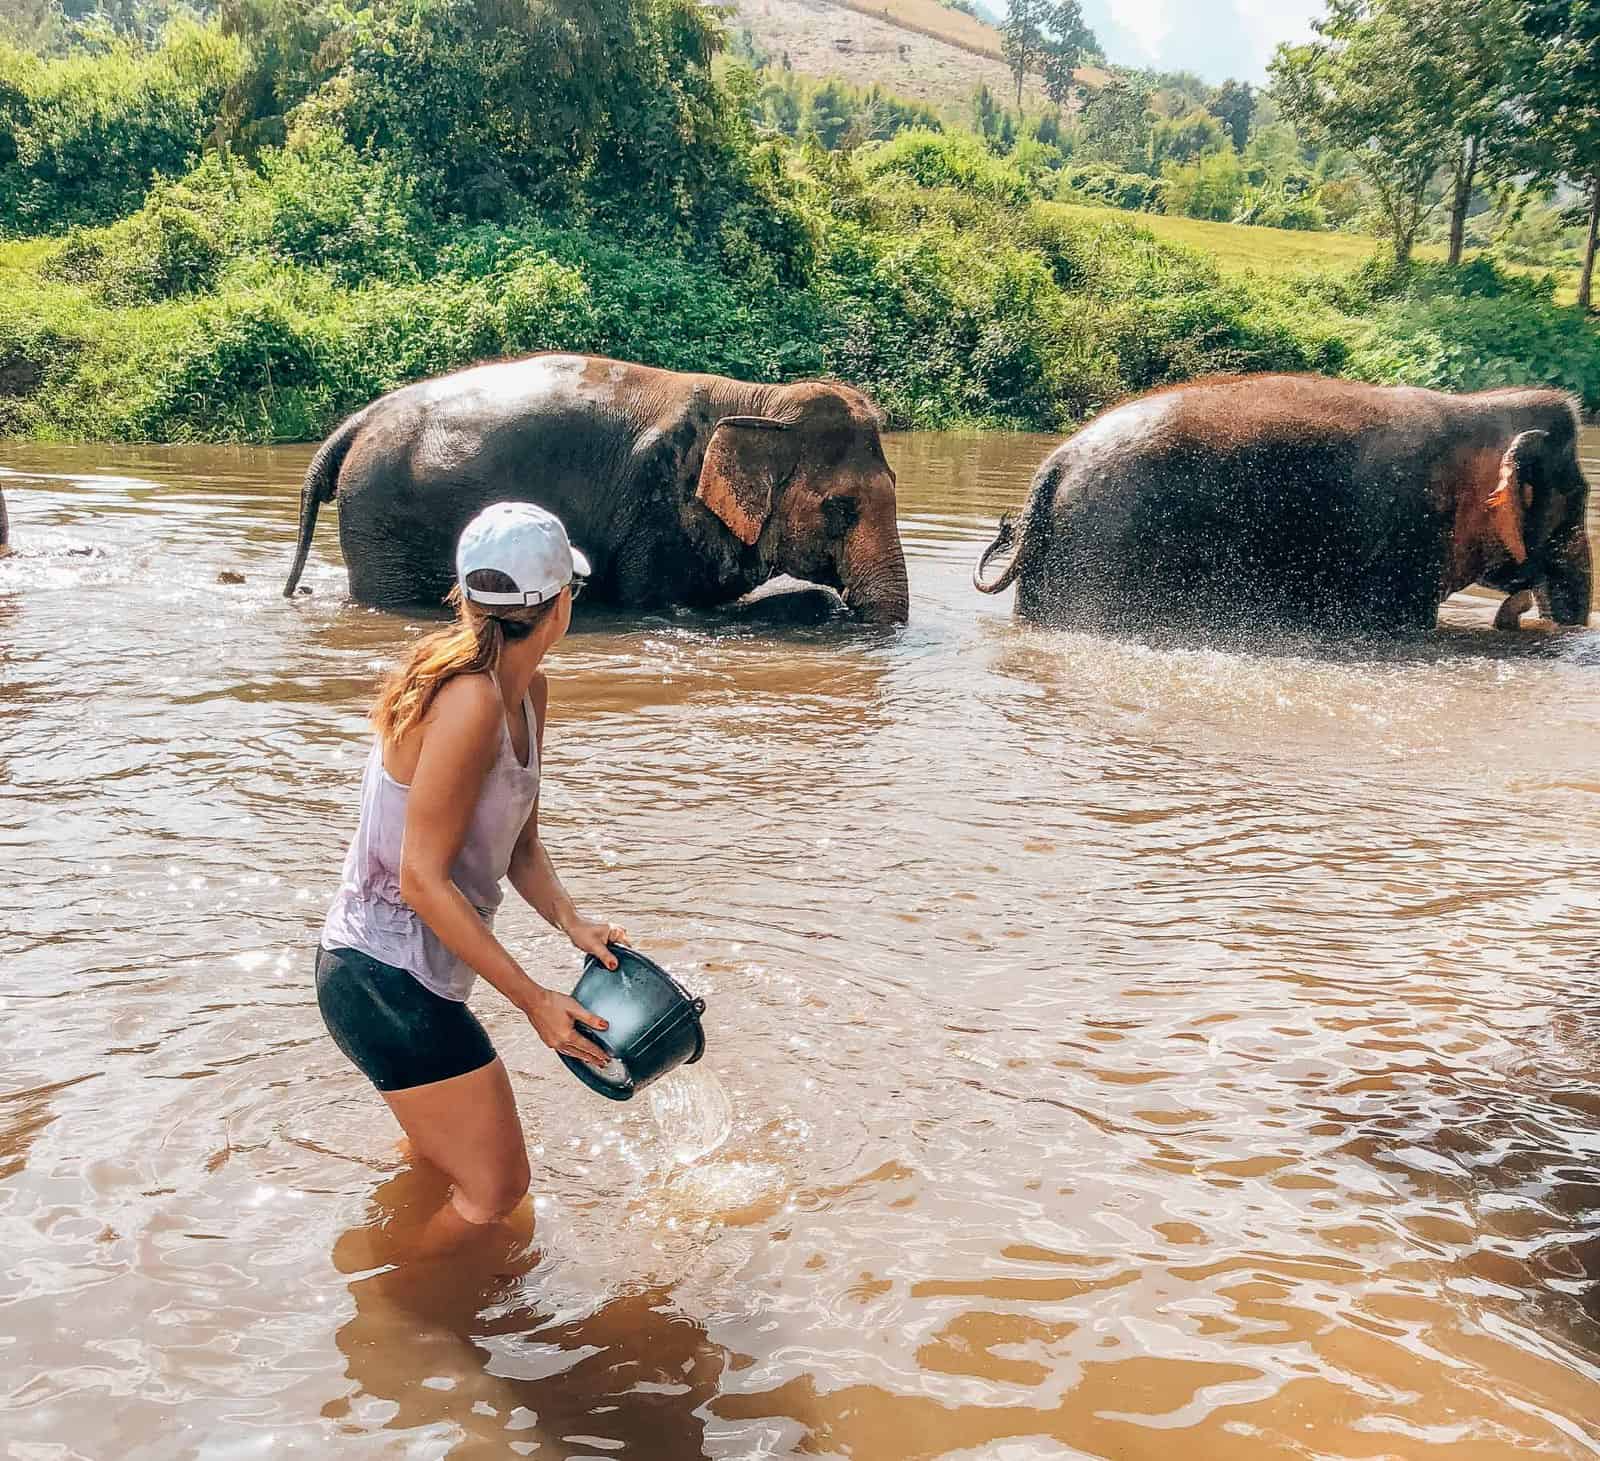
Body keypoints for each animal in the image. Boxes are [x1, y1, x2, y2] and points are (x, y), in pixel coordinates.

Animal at [284, 358, 915, 627]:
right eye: (840, 508)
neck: (760, 399)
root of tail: (354, 423)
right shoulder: (657, 515)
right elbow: (664, 603)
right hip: (381, 523)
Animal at [972, 372, 1587, 636]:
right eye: (1578, 500)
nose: (1526, 614)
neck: (1480, 407)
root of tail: (1053, 466)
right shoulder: (1402, 545)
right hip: (1104, 555)